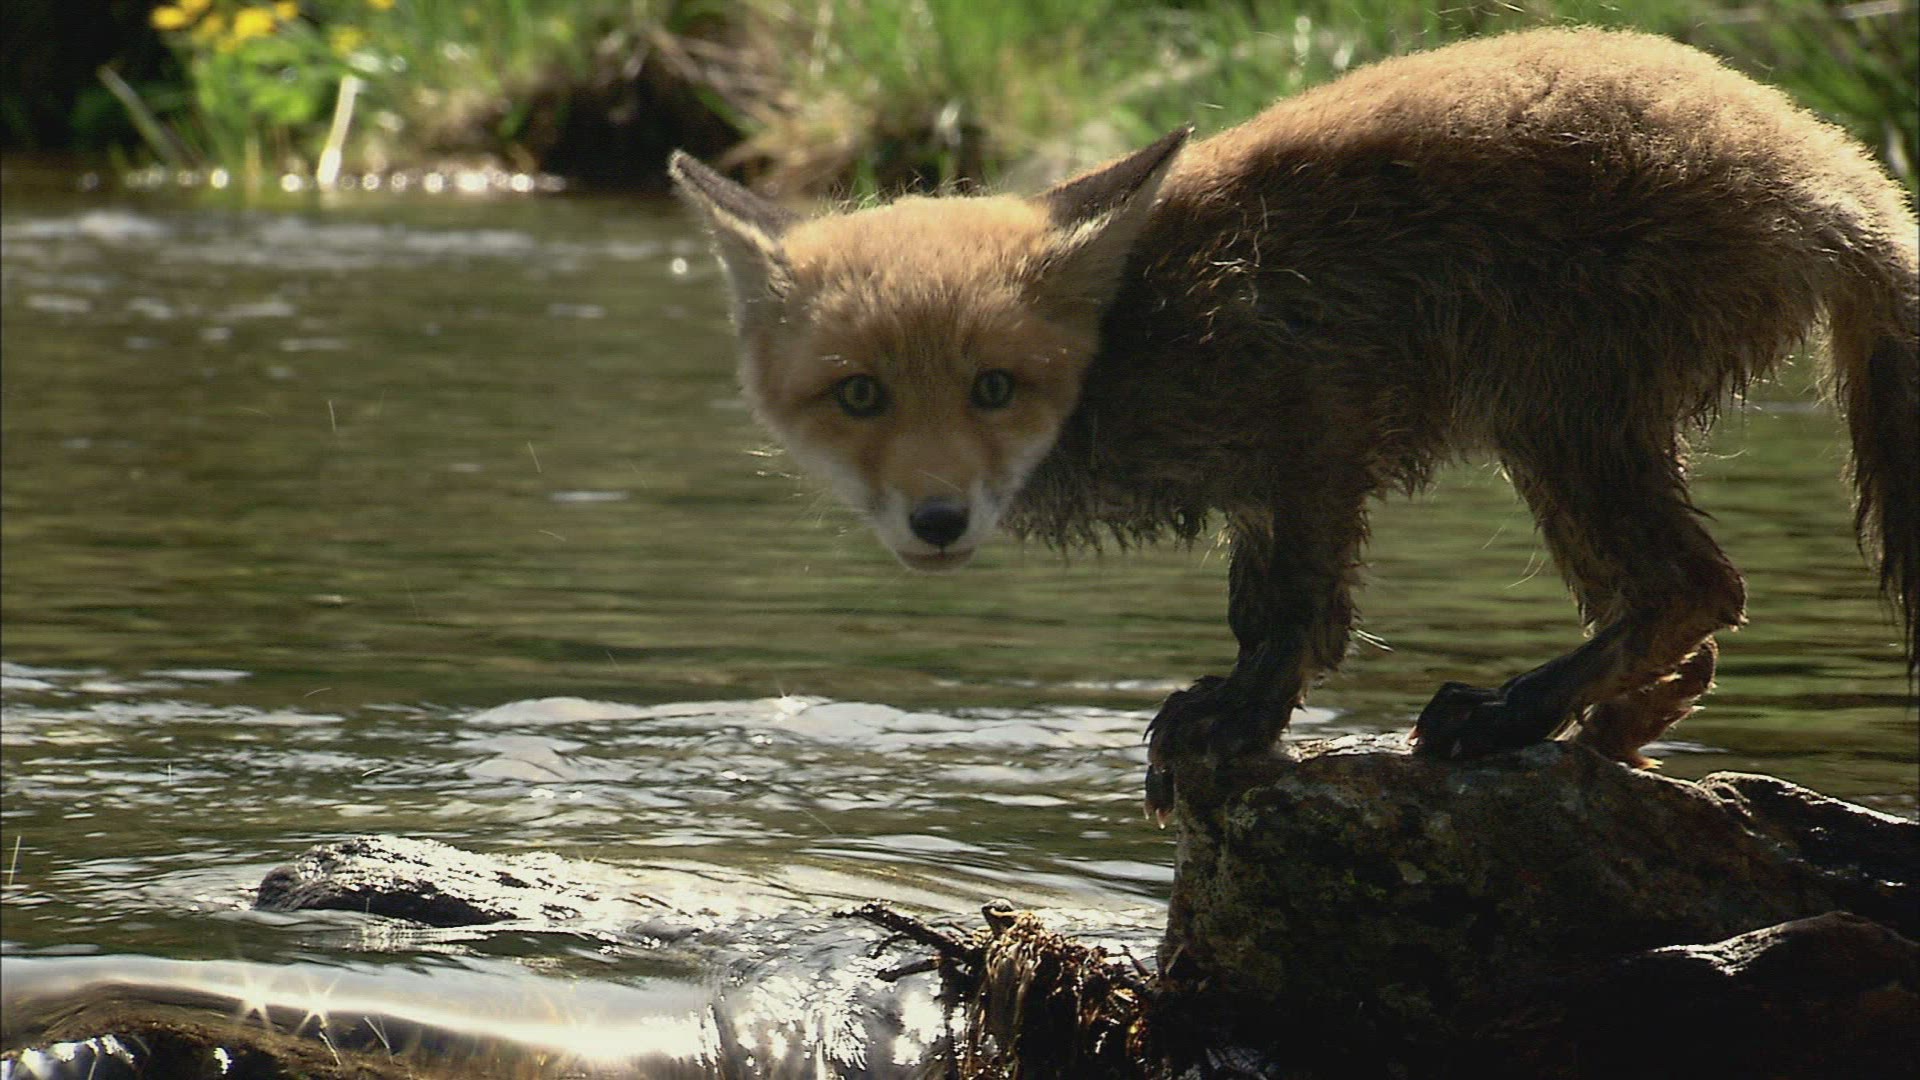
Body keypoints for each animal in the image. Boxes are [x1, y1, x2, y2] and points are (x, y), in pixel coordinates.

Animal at [670, 27, 1919, 814]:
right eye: (860, 394)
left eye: (994, 386)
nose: (936, 521)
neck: (1138, 335)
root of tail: (1829, 163)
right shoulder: (1265, 481)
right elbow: (1264, 610)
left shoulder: (1310, 418)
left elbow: (1296, 619)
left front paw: (1237, 721)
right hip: (1563, 434)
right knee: (1692, 624)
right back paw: (1608, 728)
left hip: (1561, 411)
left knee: (1695, 589)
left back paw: (1509, 715)